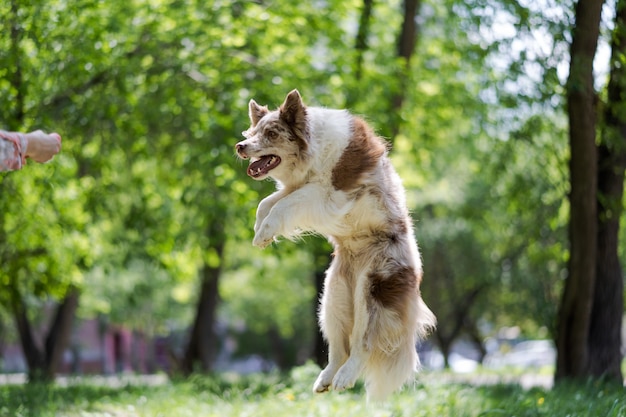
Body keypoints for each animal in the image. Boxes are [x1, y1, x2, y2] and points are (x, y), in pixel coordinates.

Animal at [234, 89, 434, 398]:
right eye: (252, 132)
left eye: (271, 133)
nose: (240, 146)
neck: (314, 147)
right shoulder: (297, 186)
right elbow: (266, 203)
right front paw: (260, 231)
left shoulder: (328, 192)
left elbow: (284, 205)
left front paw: (264, 232)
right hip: (332, 296)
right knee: (339, 350)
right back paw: (325, 379)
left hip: (371, 291)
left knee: (363, 343)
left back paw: (345, 378)